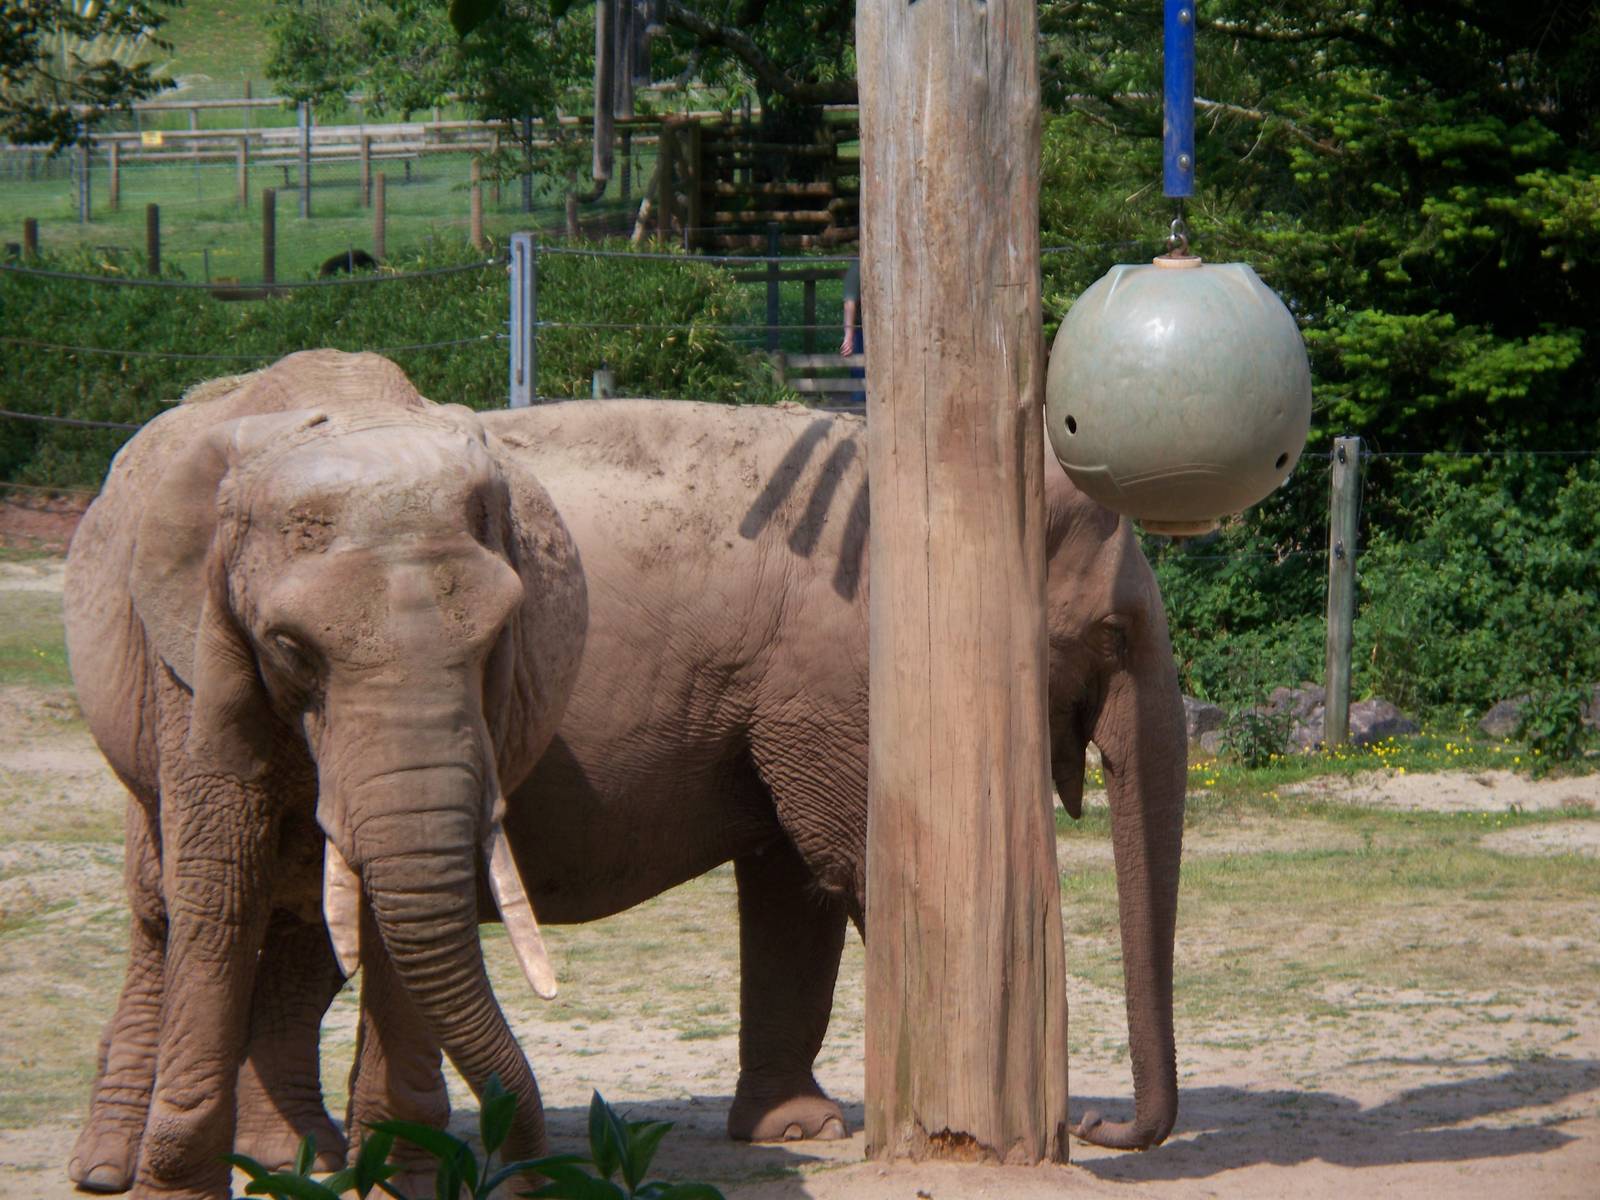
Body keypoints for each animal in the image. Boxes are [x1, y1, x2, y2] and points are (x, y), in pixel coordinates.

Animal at [62, 351, 587, 1199]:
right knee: (158, 905)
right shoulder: (194, 652)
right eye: (288, 645)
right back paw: (111, 1164)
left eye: (499, 635)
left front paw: (404, 1180)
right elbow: (220, 885)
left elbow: (394, 907)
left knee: (312, 904)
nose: (528, 1175)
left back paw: (290, 1160)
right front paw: (173, 1185)